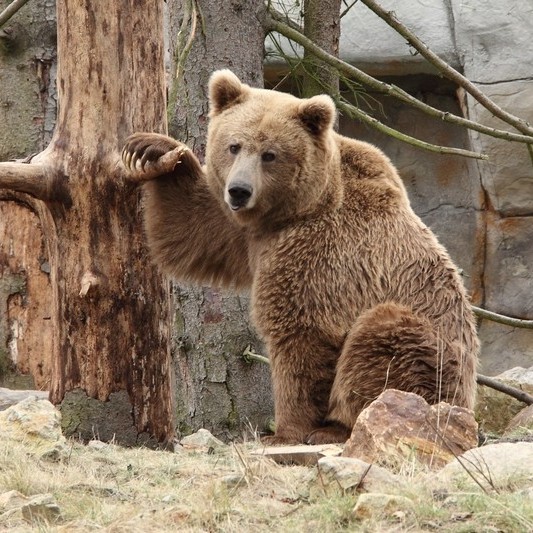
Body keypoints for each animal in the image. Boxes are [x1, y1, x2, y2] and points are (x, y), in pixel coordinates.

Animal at [122, 70, 480, 444]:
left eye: (270, 154)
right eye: (234, 146)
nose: (239, 190)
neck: (296, 209)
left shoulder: (319, 254)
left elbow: (301, 336)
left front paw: (284, 432)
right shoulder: (250, 234)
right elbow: (197, 223)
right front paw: (153, 150)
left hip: (434, 357)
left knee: (384, 342)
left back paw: (338, 427)